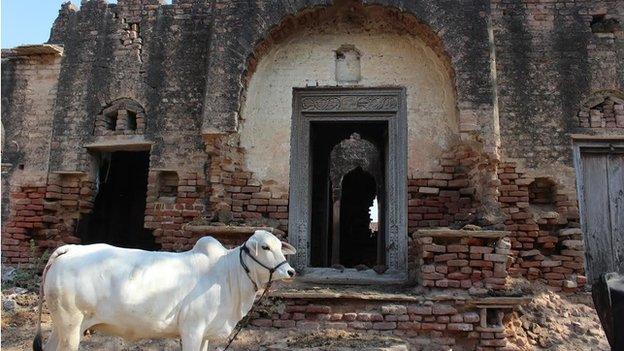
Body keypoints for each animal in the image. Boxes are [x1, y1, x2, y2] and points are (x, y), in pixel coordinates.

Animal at [33, 231, 296, 351]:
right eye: (265, 247)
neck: (227, 274)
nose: (290, 271)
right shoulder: (191, 330)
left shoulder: (205, 335)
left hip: (61, 324)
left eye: (279, 246)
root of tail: (70, 249)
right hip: (72, 325)